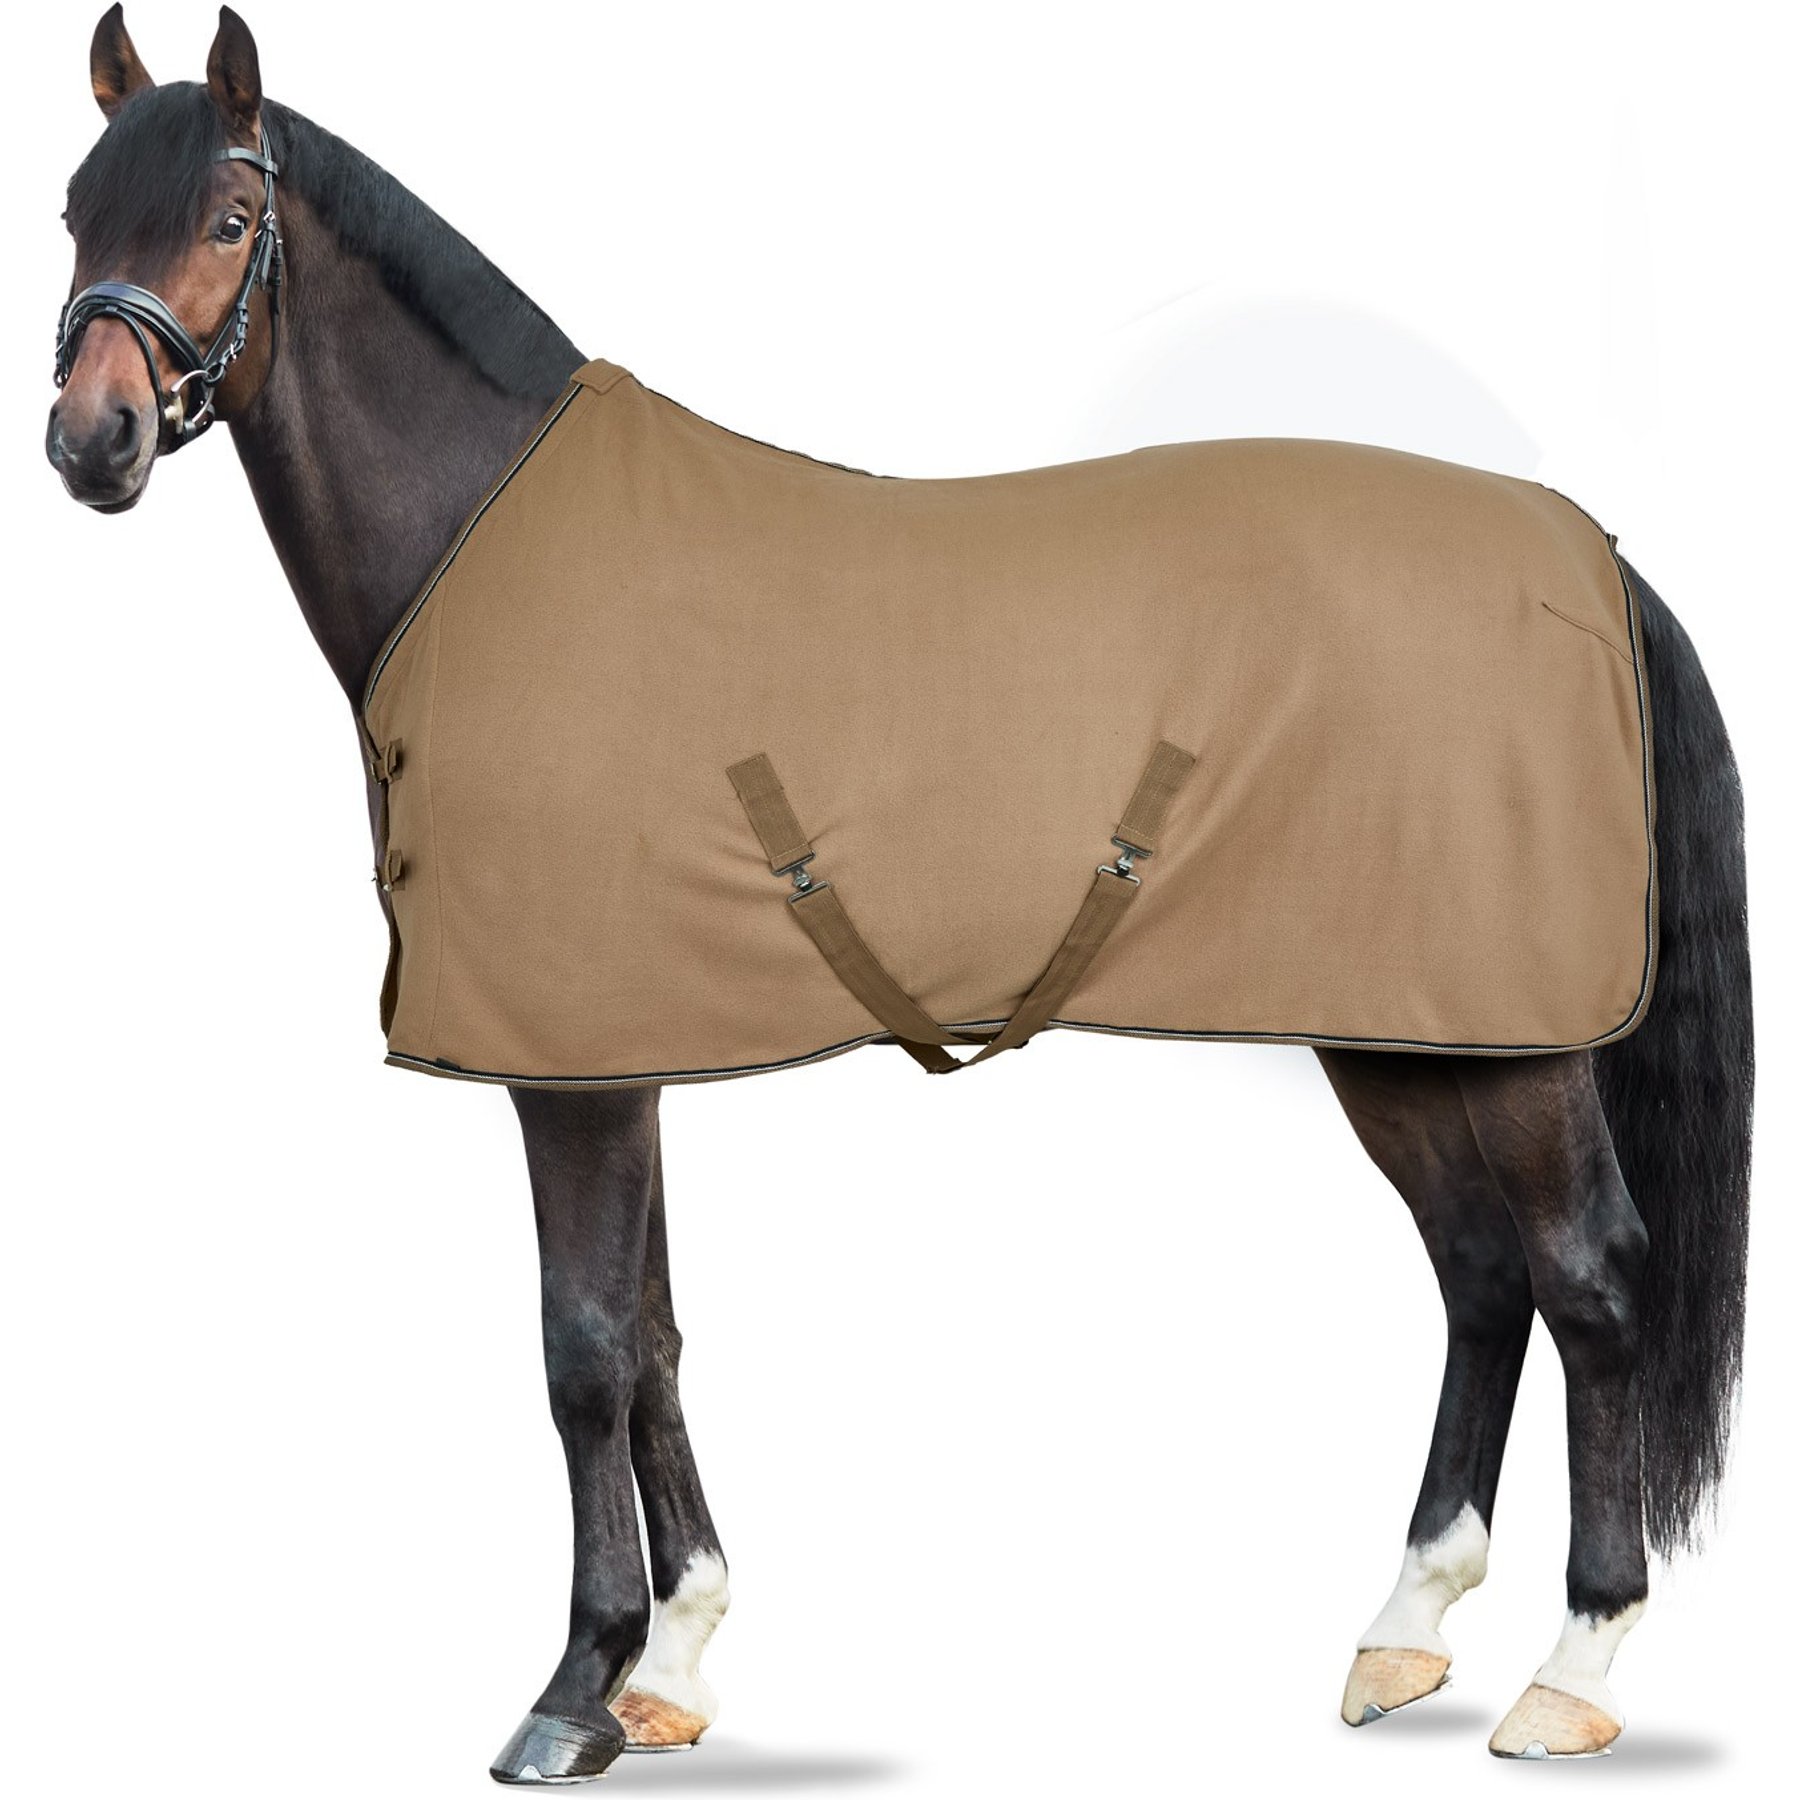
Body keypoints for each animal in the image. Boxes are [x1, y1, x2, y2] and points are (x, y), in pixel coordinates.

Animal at [46, 6, 1752, 1781]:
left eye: (225, 222)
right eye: (74, 217)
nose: (92, 442)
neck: (486, 544)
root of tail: (1593, 558)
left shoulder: (565, 1068)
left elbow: (582, 1348)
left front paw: (575, 1687)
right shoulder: (623, 1046)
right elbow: (655, 1333)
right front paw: (675, 1662)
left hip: (1519, 1044)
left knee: (1592, 1280)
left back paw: (1576, 1667)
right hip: (1406, 1028)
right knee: (1483, 1276)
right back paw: (1405, 1630)